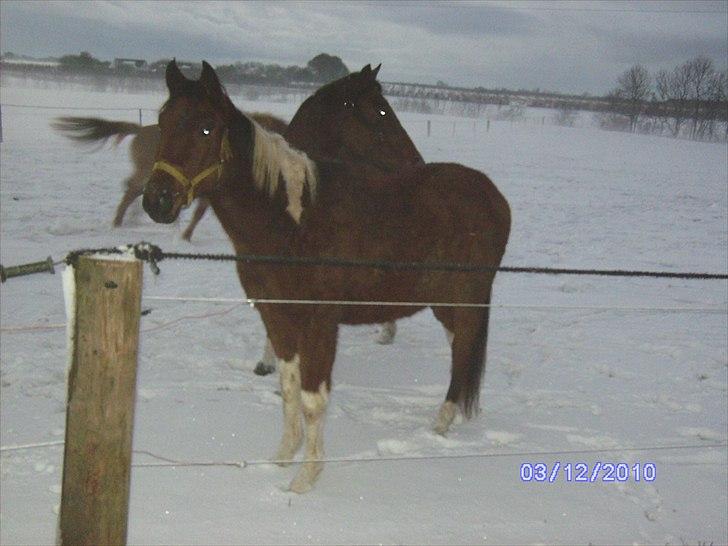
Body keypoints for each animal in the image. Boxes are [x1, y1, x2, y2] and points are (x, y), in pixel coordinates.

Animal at [51, 113, 288, 240]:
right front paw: (185, 236)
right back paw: (118, 222)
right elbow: (200, 214)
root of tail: (139, 130)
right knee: (131, 190)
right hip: (146, 173)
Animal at [142, 61, 511, 493]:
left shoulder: (319, 321)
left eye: (206, 127)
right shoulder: (276, 315)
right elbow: (289, 388)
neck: (292, 222)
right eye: (163, 122)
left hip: (463, 298)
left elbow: (313, 399)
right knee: (461, 348)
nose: (157, 201)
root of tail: (492, 195)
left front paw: (304, 479)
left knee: (463, 348)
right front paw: (282, 458)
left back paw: (441, 422)